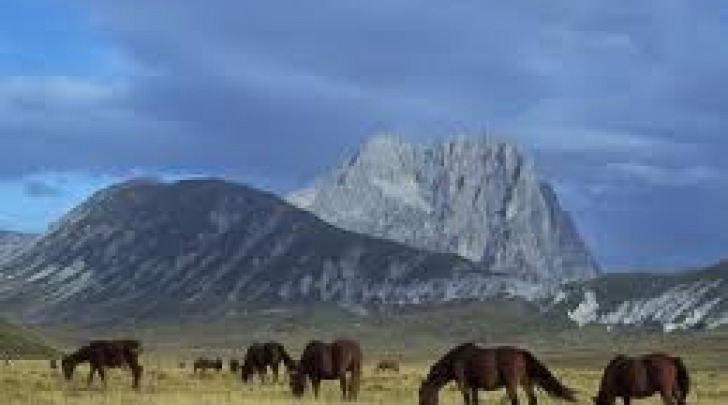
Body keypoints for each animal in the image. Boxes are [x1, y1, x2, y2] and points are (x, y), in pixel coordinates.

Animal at [418, 340, 576, 404]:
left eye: (421, 393)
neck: (455, 359)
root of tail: (521, 352)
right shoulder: (474, 387)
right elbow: (474, 401)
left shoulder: (464, 385)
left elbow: (467, 400)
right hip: (525, 381)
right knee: (532, 399)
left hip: (512, 384)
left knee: (516, 401)